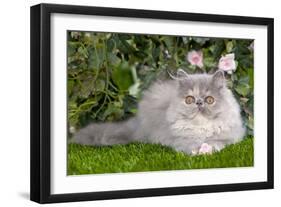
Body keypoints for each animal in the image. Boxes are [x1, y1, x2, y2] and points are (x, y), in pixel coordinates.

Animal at [72, 70, 245, 154]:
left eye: (209, 100)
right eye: (189, 99)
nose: (199, 103)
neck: (200, 129)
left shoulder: (229, 137)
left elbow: (216, 142)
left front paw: (207, 149)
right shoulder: (179, 139)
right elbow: (190, 144)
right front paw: (199, 150)